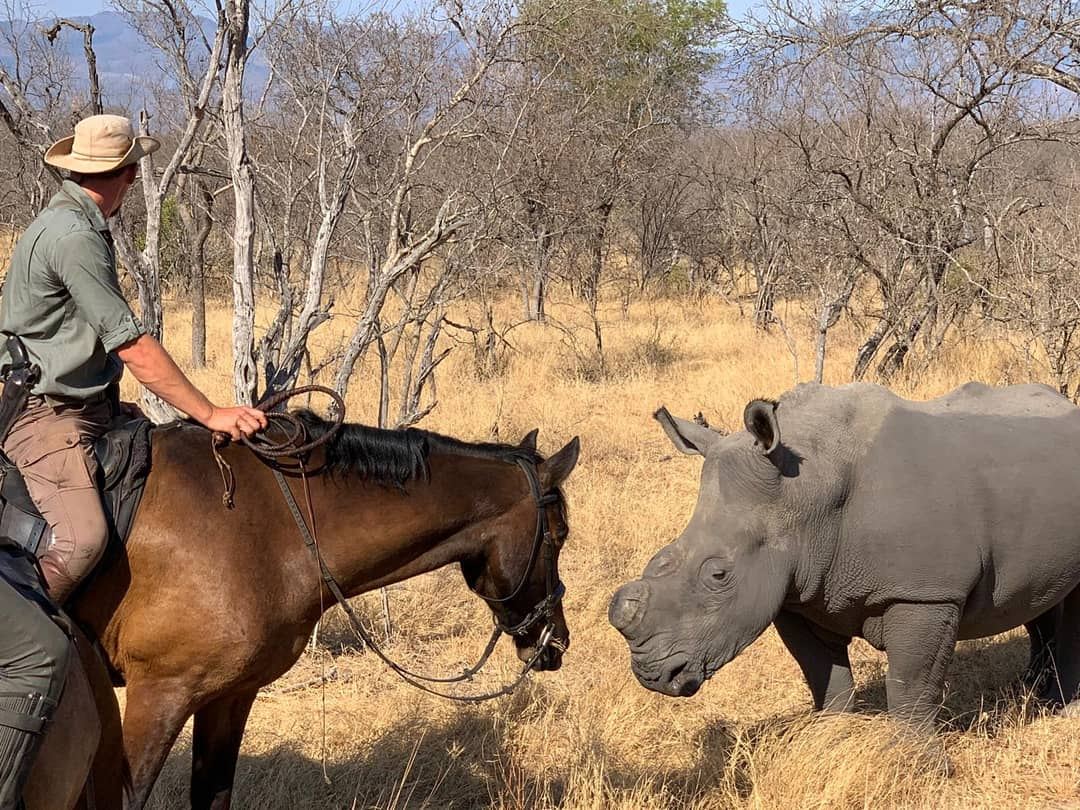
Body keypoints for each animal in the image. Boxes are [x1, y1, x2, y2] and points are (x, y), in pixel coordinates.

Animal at [65, 412, 579, 810]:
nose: (555, 641)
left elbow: (214, 795)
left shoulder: (228, 695)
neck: (267, 528)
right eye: (558, 535)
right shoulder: (160, 693)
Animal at [609, 382, 1080, 727]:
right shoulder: (796, 594)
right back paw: (1034, 692)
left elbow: (911, 686)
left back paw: (1058, 705)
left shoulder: (926, 592)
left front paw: (915, 764)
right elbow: (825, 678)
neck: (805, 493)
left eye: (718, 575)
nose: (651, 674)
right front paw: (834, 737)